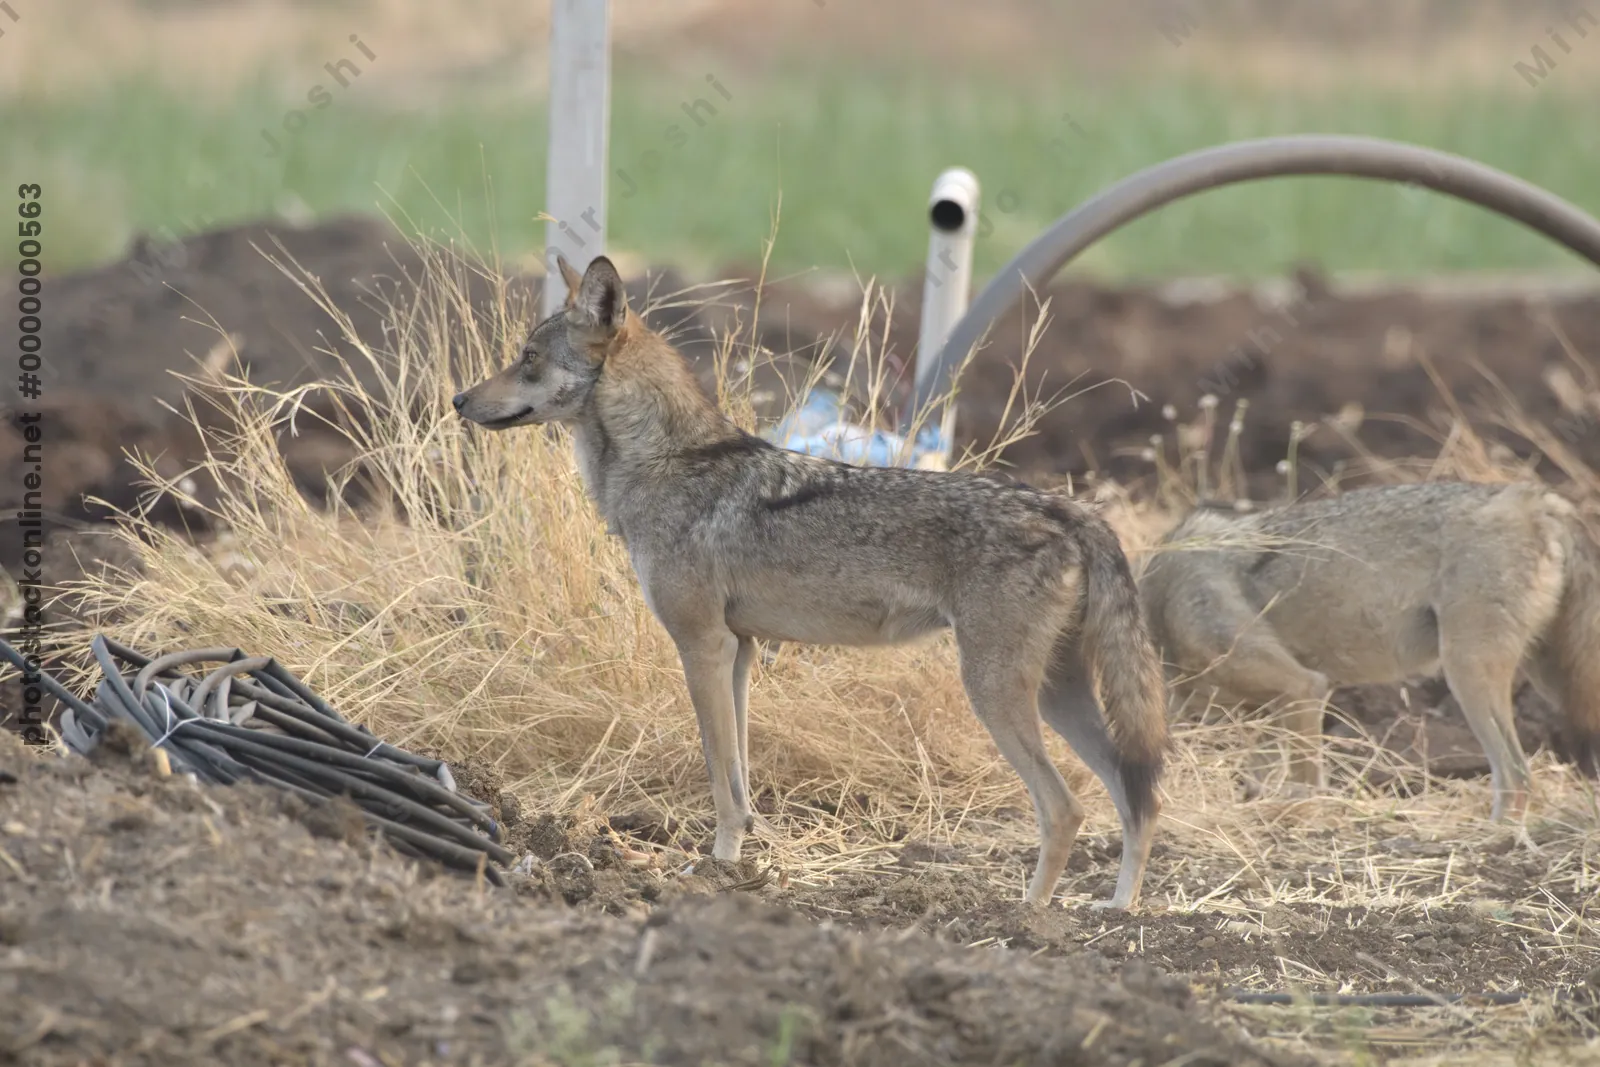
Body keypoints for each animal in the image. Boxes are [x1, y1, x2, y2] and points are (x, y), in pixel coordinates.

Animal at [452, 254, 1170, 909]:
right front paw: (734, 865)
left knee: (1066, 806)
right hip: (1055, 694)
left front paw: (711, 871)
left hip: (996, 693)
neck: (670, 461)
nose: (459, 399)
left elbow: (719, 779)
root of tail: (1072, 510)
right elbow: (739, 782)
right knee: (1137, 796)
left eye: (527, 358)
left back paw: (1030, 918)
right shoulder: (740, 651)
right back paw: (1118, 910)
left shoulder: (703, 647)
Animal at [1138, 480, 1600, 820]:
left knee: (1517, 777)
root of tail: (1532, 496)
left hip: (1467, 675)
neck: (1162, 611)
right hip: (1549, 679)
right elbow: (1257, 780)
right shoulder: (1273, 712)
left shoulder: (1303, 687)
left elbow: (1307, 784)